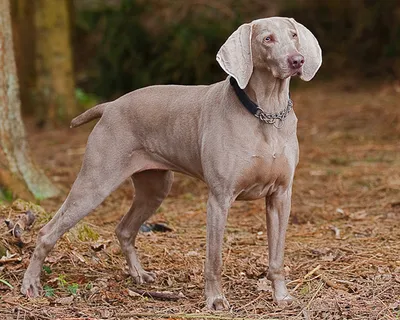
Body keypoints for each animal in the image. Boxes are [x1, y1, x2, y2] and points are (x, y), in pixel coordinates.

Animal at [21, 16, 322, 310]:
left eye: (294, 35)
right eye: (267, 39)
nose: (297, 60)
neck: (267, 114)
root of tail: (110, 106)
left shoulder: (280, 195)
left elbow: (277, 257)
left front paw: (281, 297)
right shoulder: (219, 199)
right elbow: (214, 259)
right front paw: (215, 299)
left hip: (155, 187)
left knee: (124, 229)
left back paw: (139, 275)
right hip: (95, 182)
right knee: (47, 232)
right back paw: (31, 284)